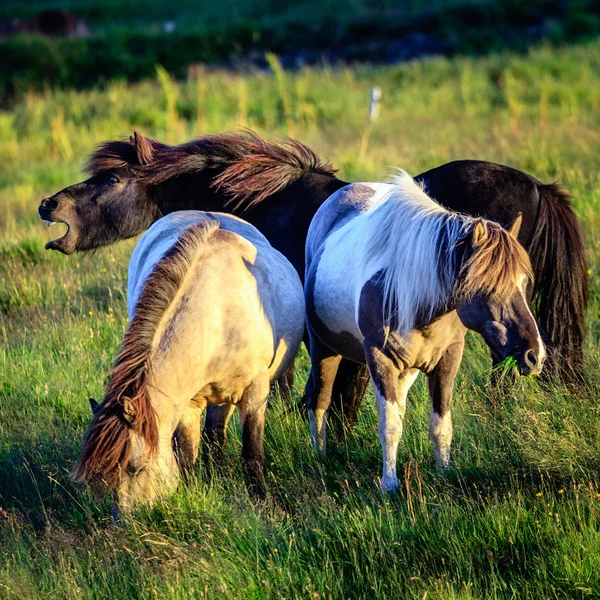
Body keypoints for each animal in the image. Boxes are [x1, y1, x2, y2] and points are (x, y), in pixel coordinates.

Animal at [74, 211, 304, 510]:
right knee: (213, 436)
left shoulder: (255, 393)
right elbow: (186, 455)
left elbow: (252, 454)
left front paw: (261, 502)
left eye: (136, 467)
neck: (218, 316)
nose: (125, 520)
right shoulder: (189, 403)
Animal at [308, 173, 548, 492]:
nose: (535, 355)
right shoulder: (379, 358)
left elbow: (440, 425)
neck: (421, 301)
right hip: (324, 348)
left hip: (407, 370)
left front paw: (444, 473)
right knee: (319, 401)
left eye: (523, 283)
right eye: (489, 287)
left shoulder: (448, 359)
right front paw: (389, 484)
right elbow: (390, 426)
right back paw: (319, 456)